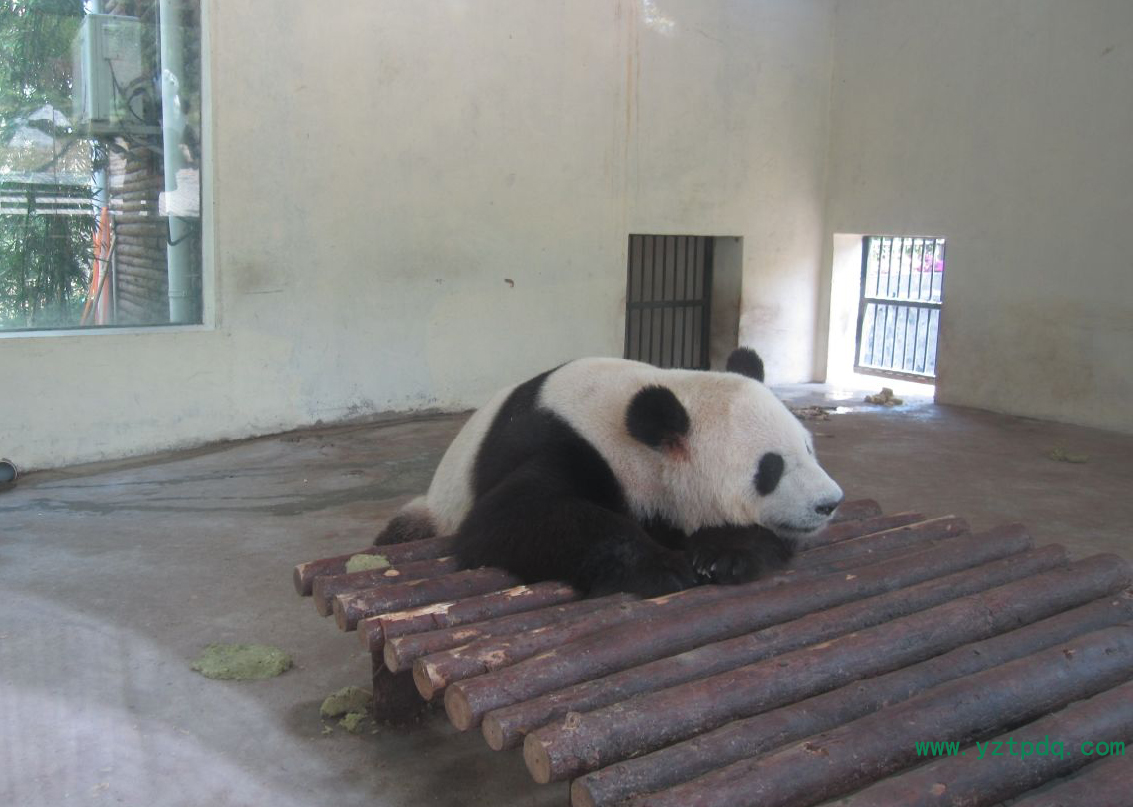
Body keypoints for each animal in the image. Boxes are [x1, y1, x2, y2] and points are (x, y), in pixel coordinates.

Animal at [375, 347, 844, 597]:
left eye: (807, 447)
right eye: (770, 468)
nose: (829, 503)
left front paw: (724, 556)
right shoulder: (564, 441)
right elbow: (511, 517)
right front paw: (663, 566)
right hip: (433, 511)